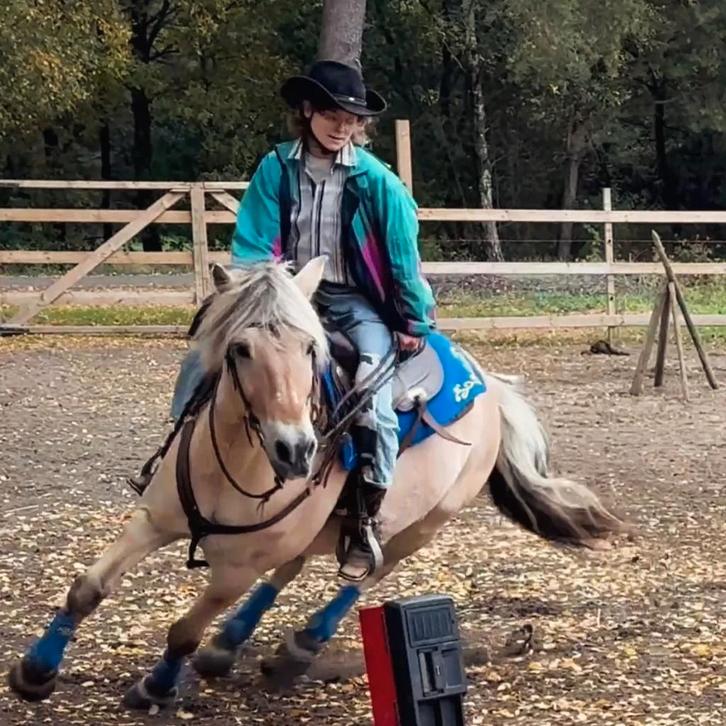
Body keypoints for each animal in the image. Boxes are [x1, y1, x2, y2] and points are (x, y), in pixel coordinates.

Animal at [8, 257, 622, 709]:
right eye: (239, 348)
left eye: (310, 348)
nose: (297, 450)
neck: (235, 465)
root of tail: (489, 385)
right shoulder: (154, 520)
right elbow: (87, 588)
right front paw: (35, 671)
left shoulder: (236, 571)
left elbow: (183, 630)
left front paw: (155, 687)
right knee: (295, 565)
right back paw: (230, 647)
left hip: (424, 523)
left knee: (363, 578)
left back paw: (296, 648)